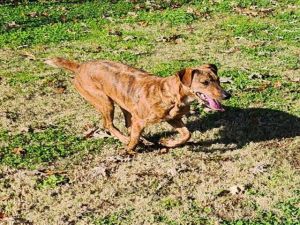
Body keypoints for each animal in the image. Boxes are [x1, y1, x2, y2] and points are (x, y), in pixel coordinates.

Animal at [45, 57, 232, 154]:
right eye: (205, 82)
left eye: (218, 80)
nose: (227, 95)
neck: (169, 93)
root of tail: (79, 66)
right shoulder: (141, 120)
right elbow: (133, 139)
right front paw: (128, 149)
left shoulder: (173, 119)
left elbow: (187, 134)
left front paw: (168, 142)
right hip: (105, 102)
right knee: (109, 125)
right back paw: (127, 140)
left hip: (125, 105)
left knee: (127, 124)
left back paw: (145, 140)